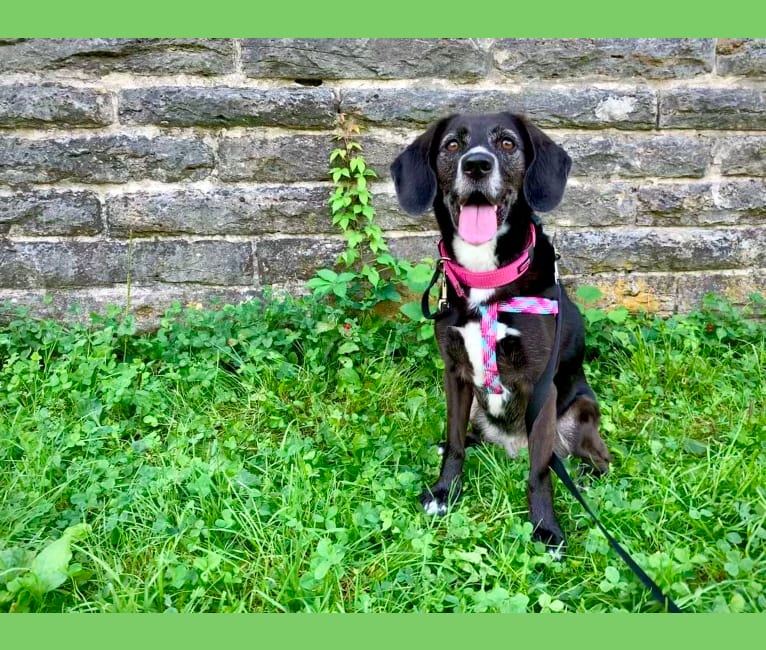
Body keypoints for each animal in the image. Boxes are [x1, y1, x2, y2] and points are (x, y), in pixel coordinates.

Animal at [392, 112, 616, 548]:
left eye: (508, 143)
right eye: (452, 144)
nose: (477, 165)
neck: (485, 275)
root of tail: (512, 445)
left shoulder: (540, 386)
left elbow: (540, 472)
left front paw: (546, 528)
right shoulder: (455, 374)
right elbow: (456, 444)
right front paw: (444, 492)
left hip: (582, 408)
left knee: (593, 459)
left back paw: (584, 478)